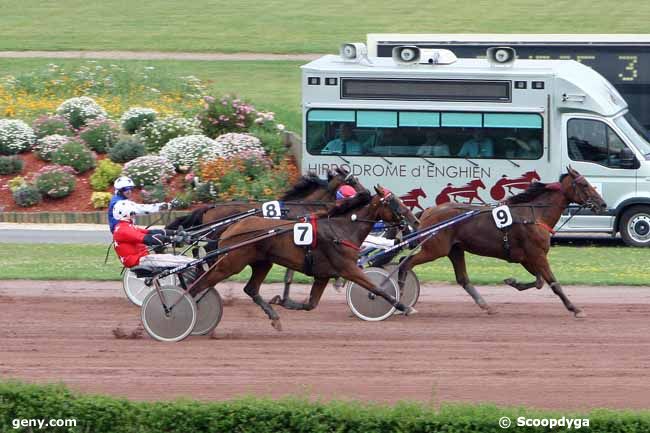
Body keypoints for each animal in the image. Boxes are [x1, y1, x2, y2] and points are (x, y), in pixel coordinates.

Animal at [190, 184, 418, 330]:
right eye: (394, 202)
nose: (414, 219)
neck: (341, 229)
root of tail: (232, 228)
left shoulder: (323, 275)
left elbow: (311, 304)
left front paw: (282, 301)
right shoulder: (347, 267)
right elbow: (377, 288)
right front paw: (404, 307)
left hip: (262, 262)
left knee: (251, 289)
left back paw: (274, 316)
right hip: (230, 263)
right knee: (200, 284)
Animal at [398, 167, 604, 318]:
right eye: (584, 184)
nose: (602, 204)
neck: (534, 215)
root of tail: (429, 211)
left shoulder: (527, 257)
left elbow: (539, 282)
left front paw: (512, 281)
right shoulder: (537, 255)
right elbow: (554, 283)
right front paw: (575, 309)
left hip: (454, 249)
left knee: (463, 279)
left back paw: (486, 306)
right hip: (435, 249)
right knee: (404, 263)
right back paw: (402, 303)